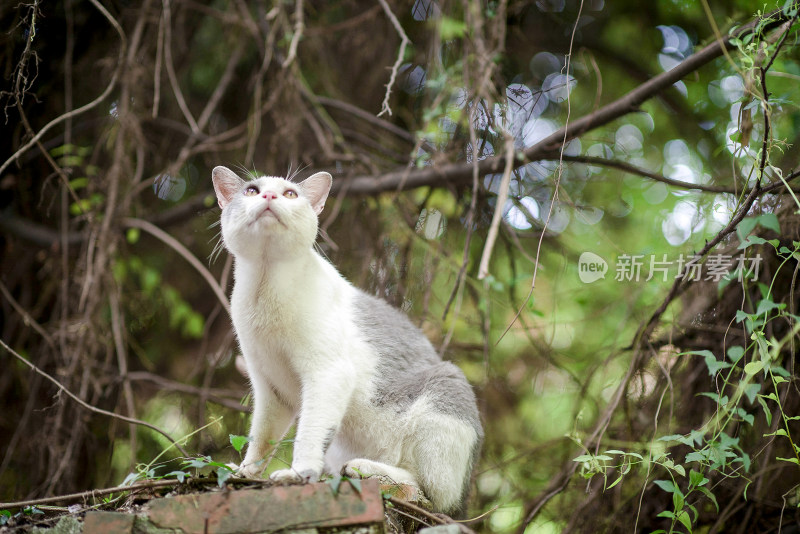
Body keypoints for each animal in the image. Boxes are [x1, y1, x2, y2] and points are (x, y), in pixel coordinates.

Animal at [211, 166, 482, 516]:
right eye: (252, 191)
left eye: (290, 194)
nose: (269, 196)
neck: (265, 287)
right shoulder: (271, 388)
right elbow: (261, 437)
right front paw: (246, 472)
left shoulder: (329, 373)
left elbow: (310, 433)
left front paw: (298, 473)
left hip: (447, 388)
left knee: (432, 494)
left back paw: (369, 470)